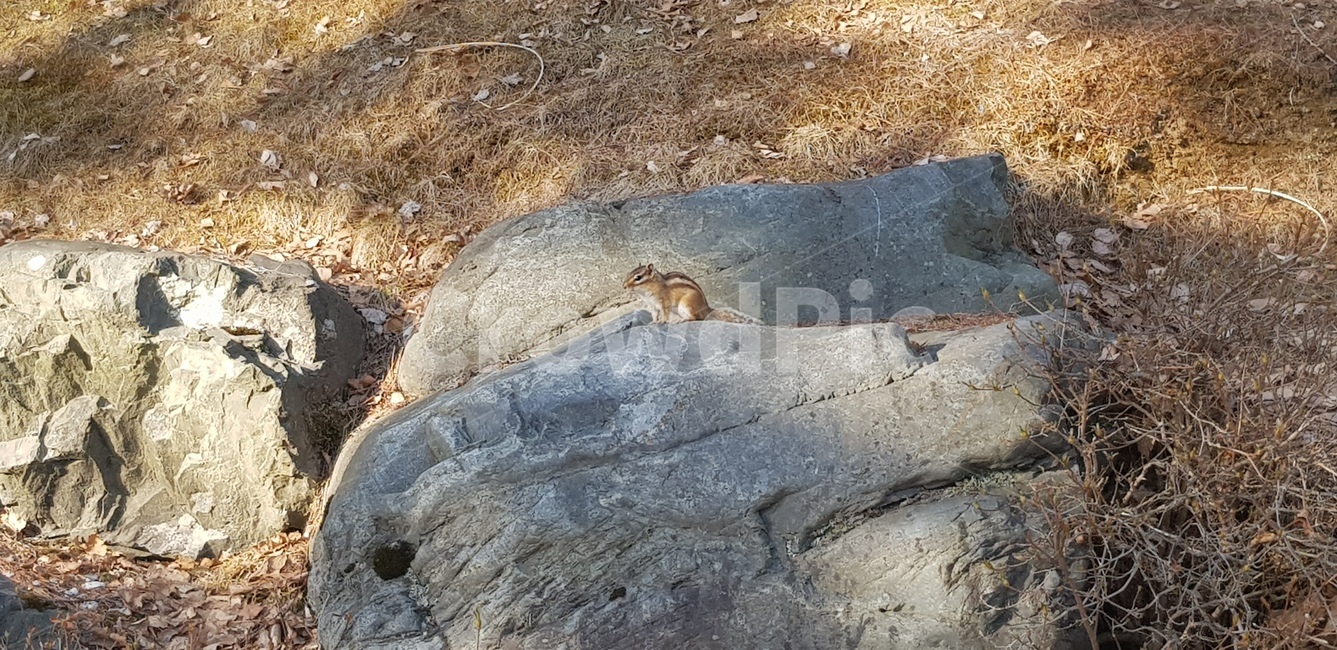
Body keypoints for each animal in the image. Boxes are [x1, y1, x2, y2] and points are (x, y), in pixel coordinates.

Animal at [623, 263, 762, 325]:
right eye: (628, 273)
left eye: (638, 277)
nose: (624, 286)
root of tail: (706, 308)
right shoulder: (652, 306)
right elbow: (654, 315)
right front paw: (653, 322)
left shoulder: (664, 302)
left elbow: (665, 313)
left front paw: (661, 321)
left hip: (686, 305)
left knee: (696, 318)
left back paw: (681, 320)